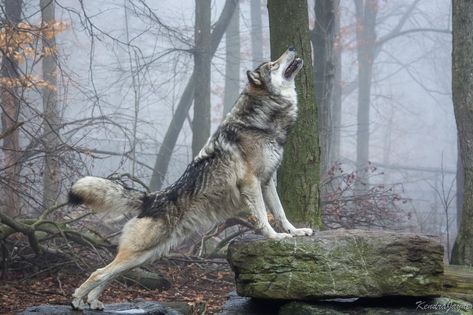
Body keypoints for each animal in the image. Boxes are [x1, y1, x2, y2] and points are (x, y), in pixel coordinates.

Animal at [70, 47, 312, 312]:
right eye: (272, 65)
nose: (291, 48)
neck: (260, 122)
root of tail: (151, 198)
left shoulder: (267, 182)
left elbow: (280, 213)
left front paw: (295, 231)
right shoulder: (251, 183)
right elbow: (262, 218)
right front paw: (275, 237)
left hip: (144, 257)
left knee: (107, 274)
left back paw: (94, 301)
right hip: (138, 254)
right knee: (98, 273)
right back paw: (77, 300)